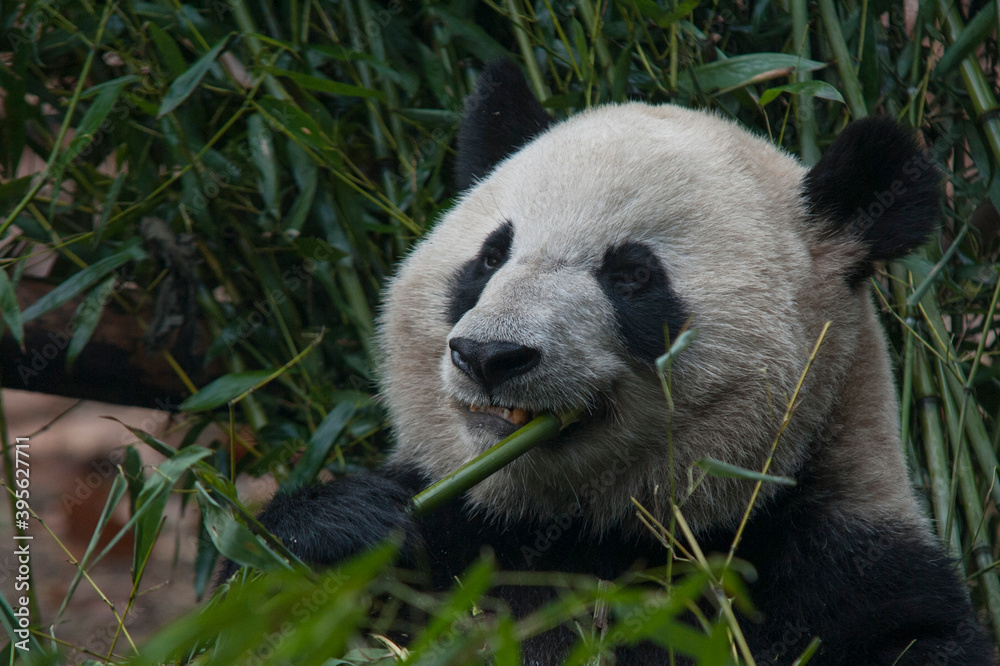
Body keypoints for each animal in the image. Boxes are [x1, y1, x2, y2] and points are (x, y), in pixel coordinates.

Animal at [229, 60, 994, 664]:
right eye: (490, 257)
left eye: (630, 275)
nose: (489, 356)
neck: (593, 529)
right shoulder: (467, 541)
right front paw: (347, 528)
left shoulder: (836, 574)